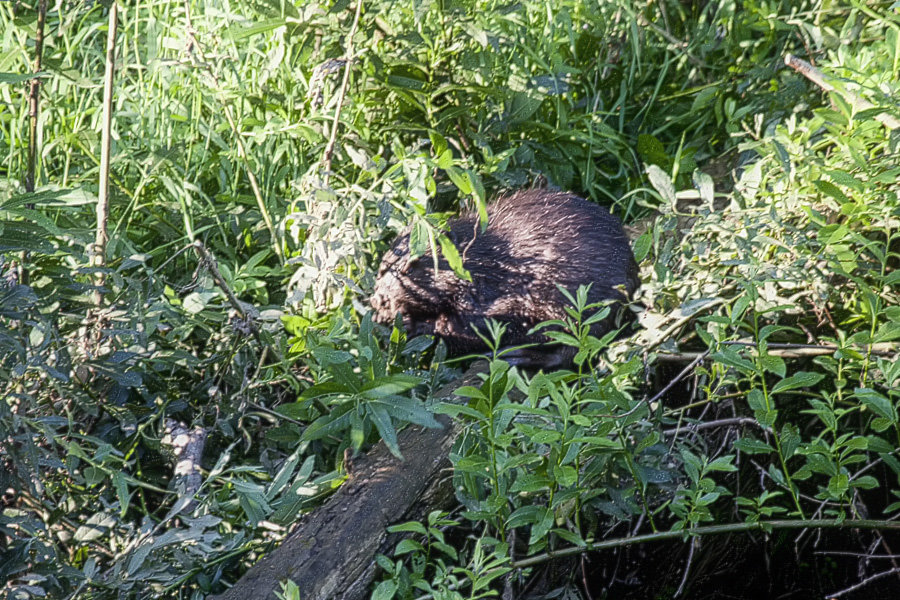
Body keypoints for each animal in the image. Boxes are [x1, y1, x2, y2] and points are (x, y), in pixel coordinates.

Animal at [370, 190, 640, 368]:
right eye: (381, 269)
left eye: (408, 268)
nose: (377, 302)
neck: (479, 259)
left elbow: (477, 324)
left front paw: (410, 323)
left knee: (575, 351)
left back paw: (518, 356)